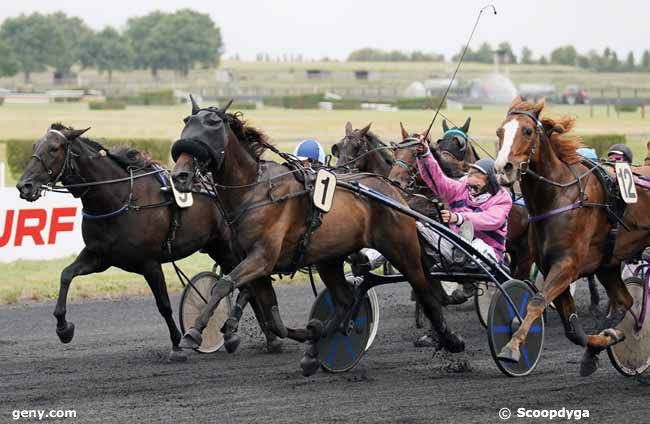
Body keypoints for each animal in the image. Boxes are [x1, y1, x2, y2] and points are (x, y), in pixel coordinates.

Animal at [15, 123, 280, 362]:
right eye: (34, 146)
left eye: (54, 148)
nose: (24, 185)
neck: (120, 198)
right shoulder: (99, 256)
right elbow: (66, 275)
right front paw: (64, 329)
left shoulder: (149, 263)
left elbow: (163, 305)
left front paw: (177, 346)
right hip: (216, 248)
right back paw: (259, 336)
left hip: (228, 248)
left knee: (249, 284)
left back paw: (251, 335)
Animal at [170, 97, 464, 374]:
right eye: (186, 121)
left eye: (212, 125)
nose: (180, 176)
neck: (255, 190)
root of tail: (391, 189)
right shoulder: (254, 264)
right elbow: (270, 316)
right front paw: (305, 332)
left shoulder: (262, 258)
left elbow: (223, 285)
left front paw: (193, 332)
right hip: (329, 258)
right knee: (345, 300)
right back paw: (316, 345)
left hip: (401, 248)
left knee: (425, 291)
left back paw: (451, 340)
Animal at [492, 97, 648, 376]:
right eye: (500, 131)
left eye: (527, 131)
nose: (502, 168)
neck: (559, 197)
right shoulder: (552, 266)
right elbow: (573, 330)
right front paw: (604, 342)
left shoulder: (566, 265)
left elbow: (536, 301)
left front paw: (512, 347)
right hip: (608, 264)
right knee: (624, 301)